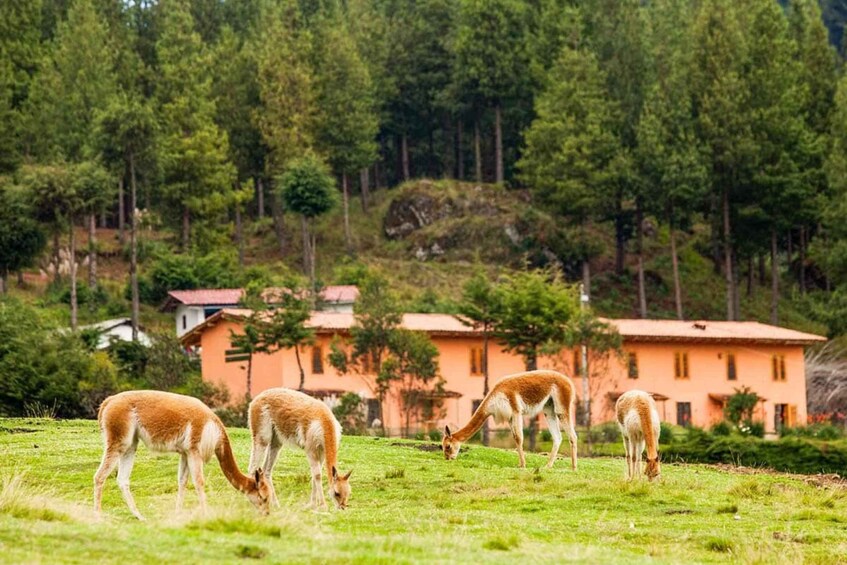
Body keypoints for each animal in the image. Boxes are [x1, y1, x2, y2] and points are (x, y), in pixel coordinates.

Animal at [93, 390, 272, 521]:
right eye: (263, 497)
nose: (267, 514)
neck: (215, 432)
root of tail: (107, 402)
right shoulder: (194, 450)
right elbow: (199, 482)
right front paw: (206, 514)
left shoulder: (185, 452)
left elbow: (182, 481)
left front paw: (178, 513)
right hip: (119, 439)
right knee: (99, 476)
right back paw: (98, 516)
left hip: (131, 443)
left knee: (122, 480)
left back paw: (140, 516)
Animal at [442, 370, 578, 470]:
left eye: (448, 446)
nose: (448, 459)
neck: (494, 397)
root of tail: (569, 381)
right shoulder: (509, 416)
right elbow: (514, 437)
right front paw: (520, 464)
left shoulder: (516, 410)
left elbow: (519, 438)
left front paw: (522, 465)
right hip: (548, 409)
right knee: (557, 437)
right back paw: (548, 466)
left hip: (561, 405)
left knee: (572, 435)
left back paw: (573, 467)